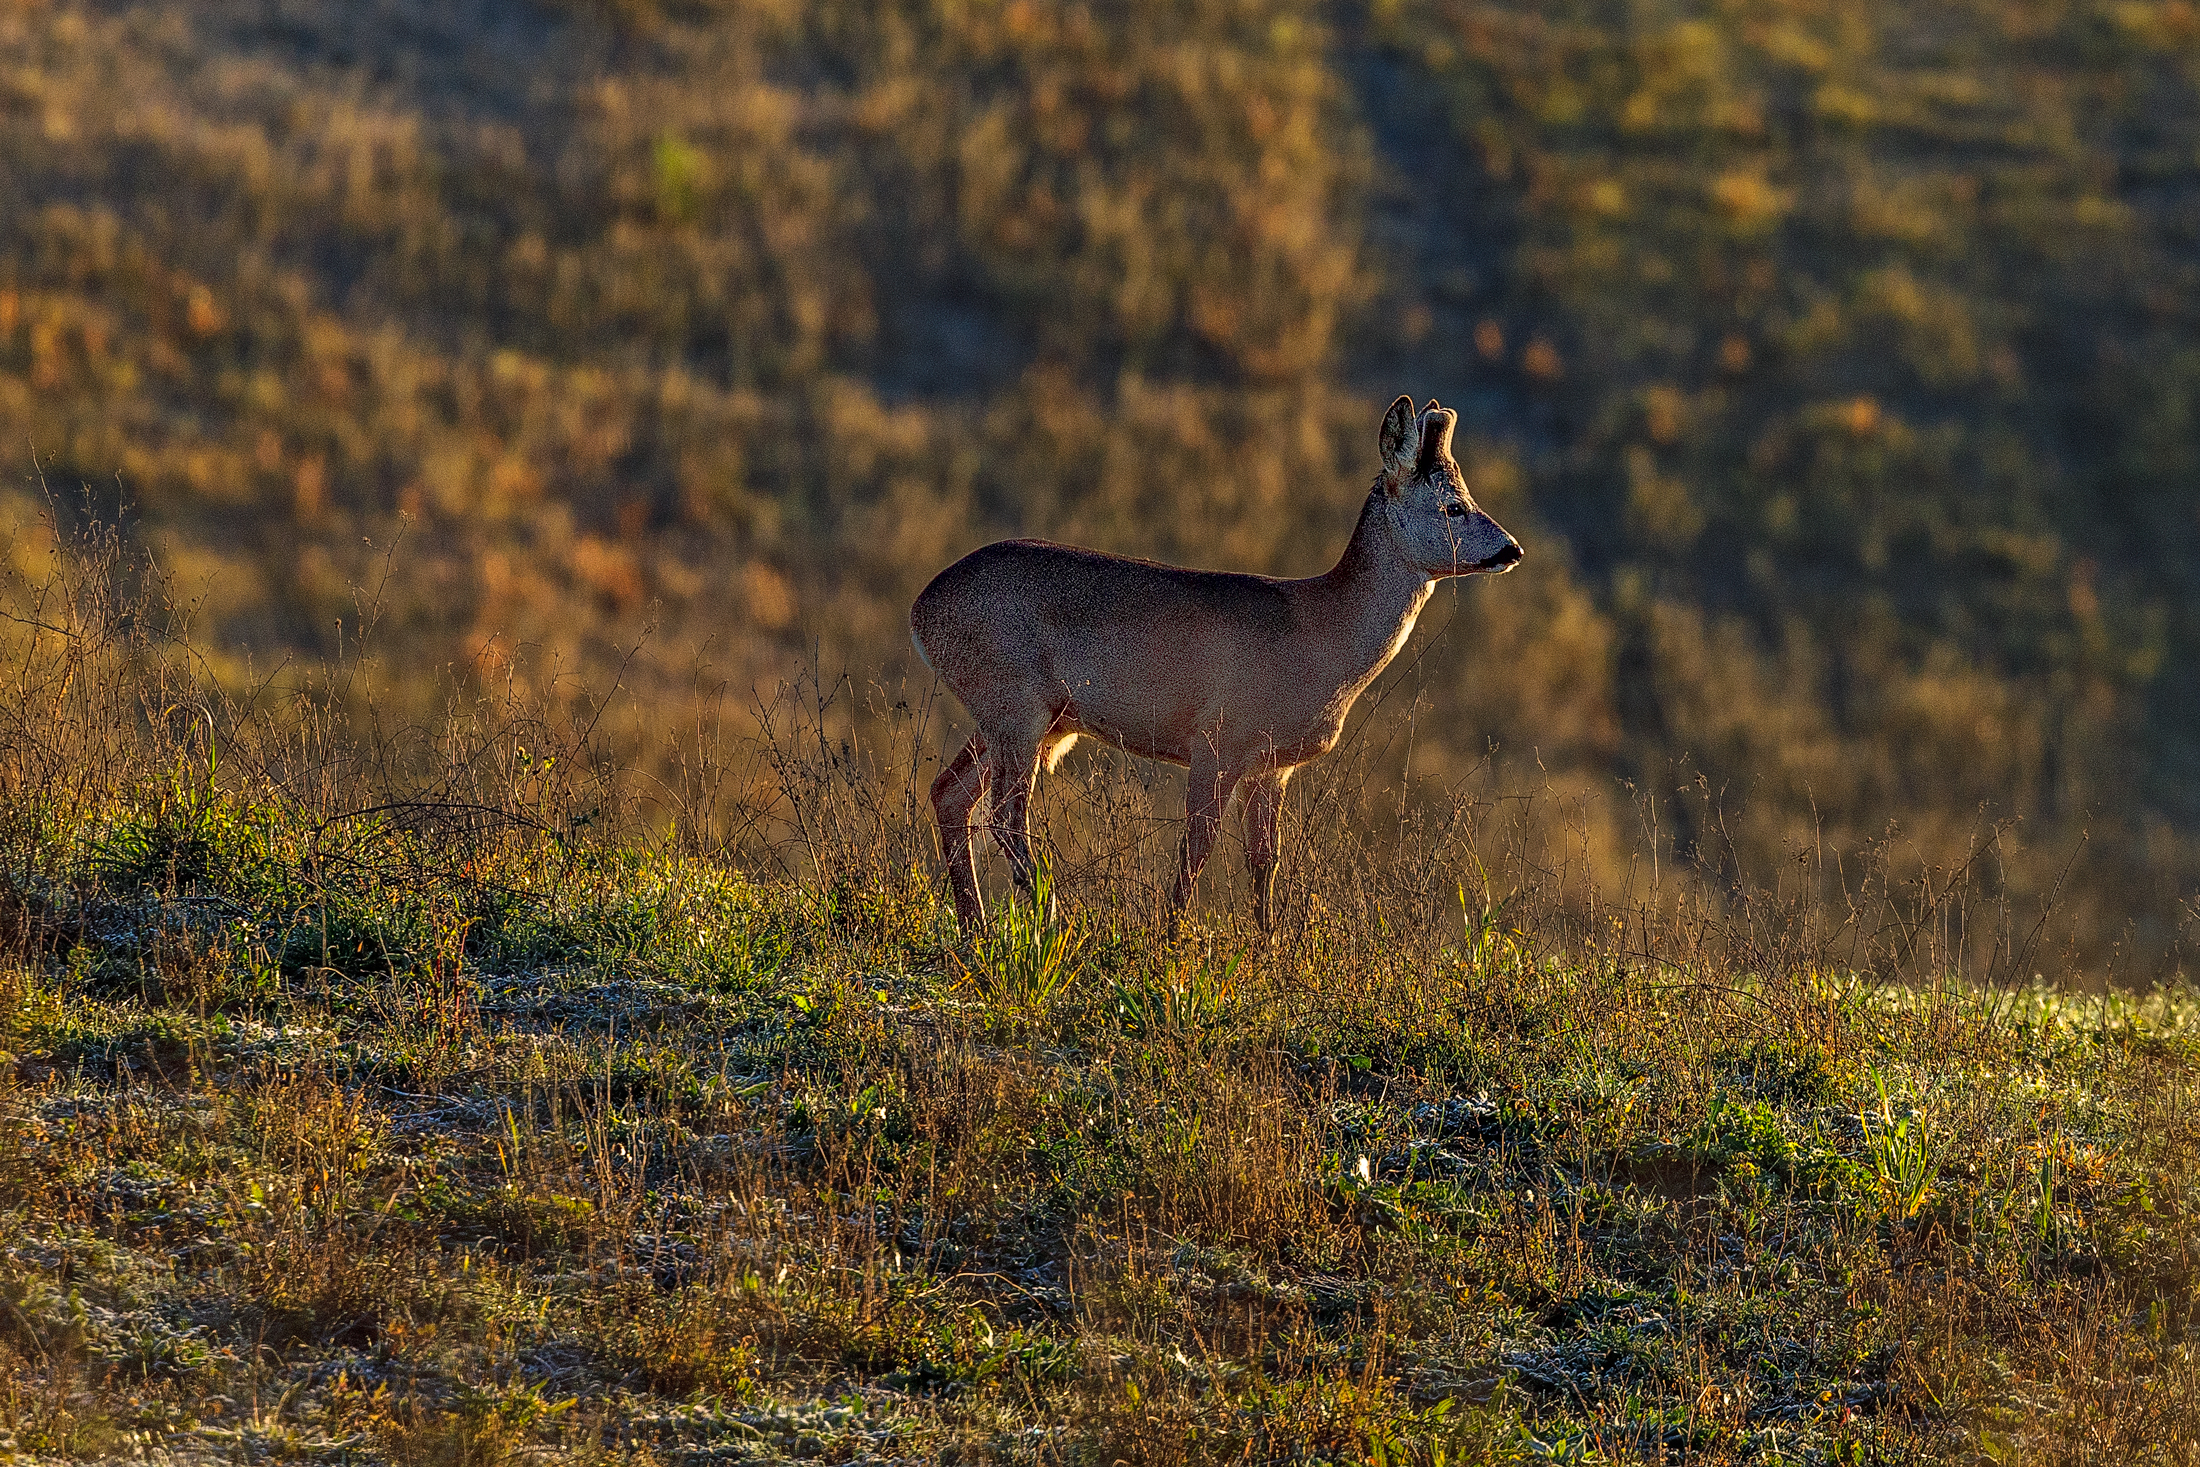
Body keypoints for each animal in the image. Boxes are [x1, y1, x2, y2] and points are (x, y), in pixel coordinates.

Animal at [910, 395, 1522, 933]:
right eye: (1453, 506)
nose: (1511, 549)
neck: (1321, 637)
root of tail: (921, 611)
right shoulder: (1218, 742)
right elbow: (1197, 849)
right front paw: (1170, 938)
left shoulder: (1273, 765)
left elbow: (1264, 862)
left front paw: (1269, 947)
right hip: (1016, 702)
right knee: (1004, 813)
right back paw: (1050, 919)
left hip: (1026, 716)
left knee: (949, 792)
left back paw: (975, 929)